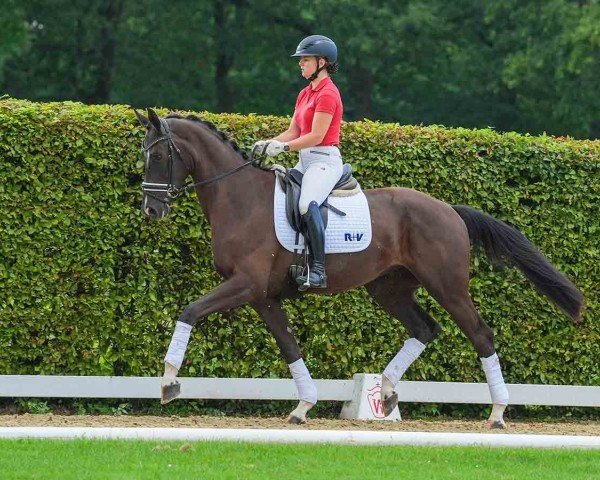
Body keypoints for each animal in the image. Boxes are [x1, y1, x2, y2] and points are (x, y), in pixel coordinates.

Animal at [135, 107, 580, 426]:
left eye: (158, 155)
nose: (152, 210)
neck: (240, 198)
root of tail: (449, 209)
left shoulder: (245, 284)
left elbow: (189, 311)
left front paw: (169, 382)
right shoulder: (262, 295)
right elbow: (290, 345)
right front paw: (303, 407)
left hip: (447, 286)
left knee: (480, 334)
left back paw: (498, 413)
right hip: (388, 287)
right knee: (425, 329)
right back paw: (386, 391)